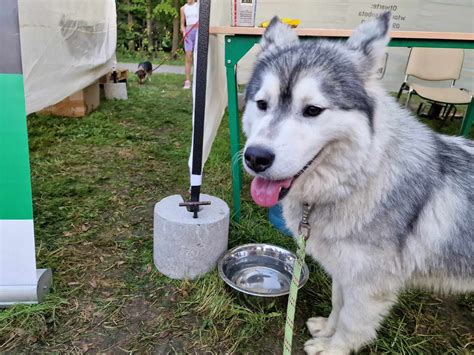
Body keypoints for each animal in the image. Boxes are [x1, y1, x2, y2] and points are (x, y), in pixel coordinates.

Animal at [243, 12, 472, 354]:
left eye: (313, 110)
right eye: (261, 104)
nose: (255, 157)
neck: (362, 175)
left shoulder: (369, 287)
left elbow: (352, 323)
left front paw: (333, 348)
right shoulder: (344, 271)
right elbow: (339, 303)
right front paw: (327, 330)